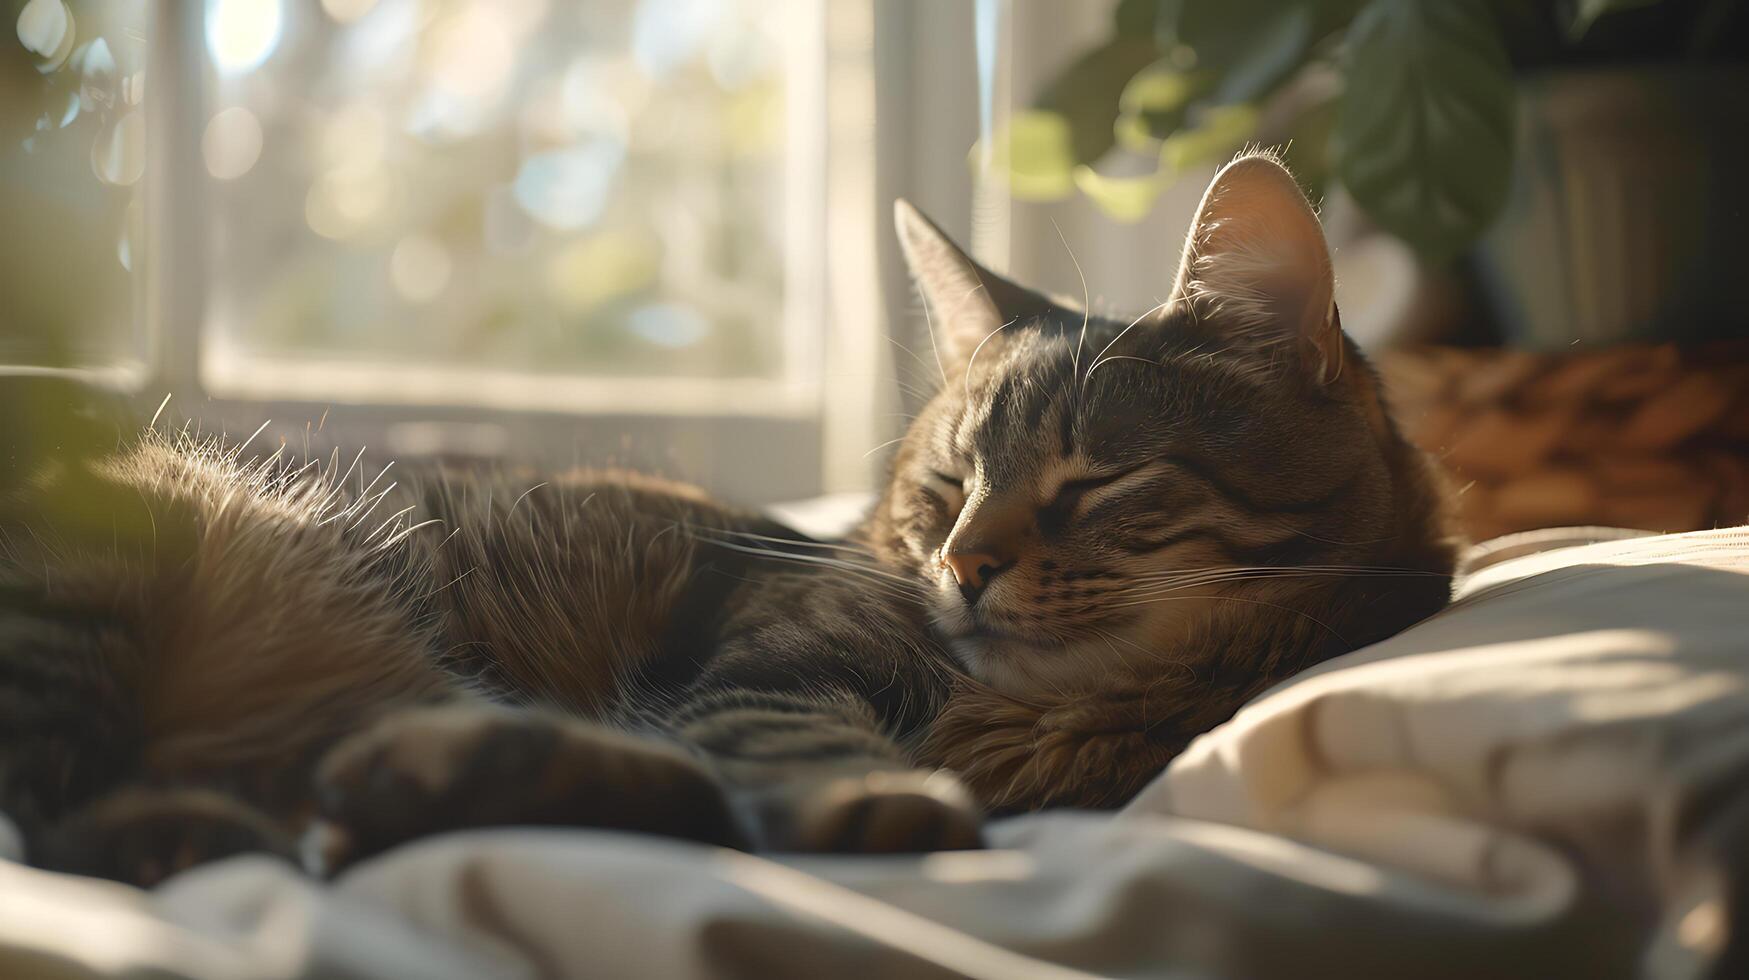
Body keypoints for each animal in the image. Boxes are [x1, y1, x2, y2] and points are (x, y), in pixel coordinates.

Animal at [0, 154, 1448, 889]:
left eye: (1091, 481)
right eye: (943, 489)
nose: (962, 568)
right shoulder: (760, 672)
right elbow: (793, 765)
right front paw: (881, 799)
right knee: (40, 818)